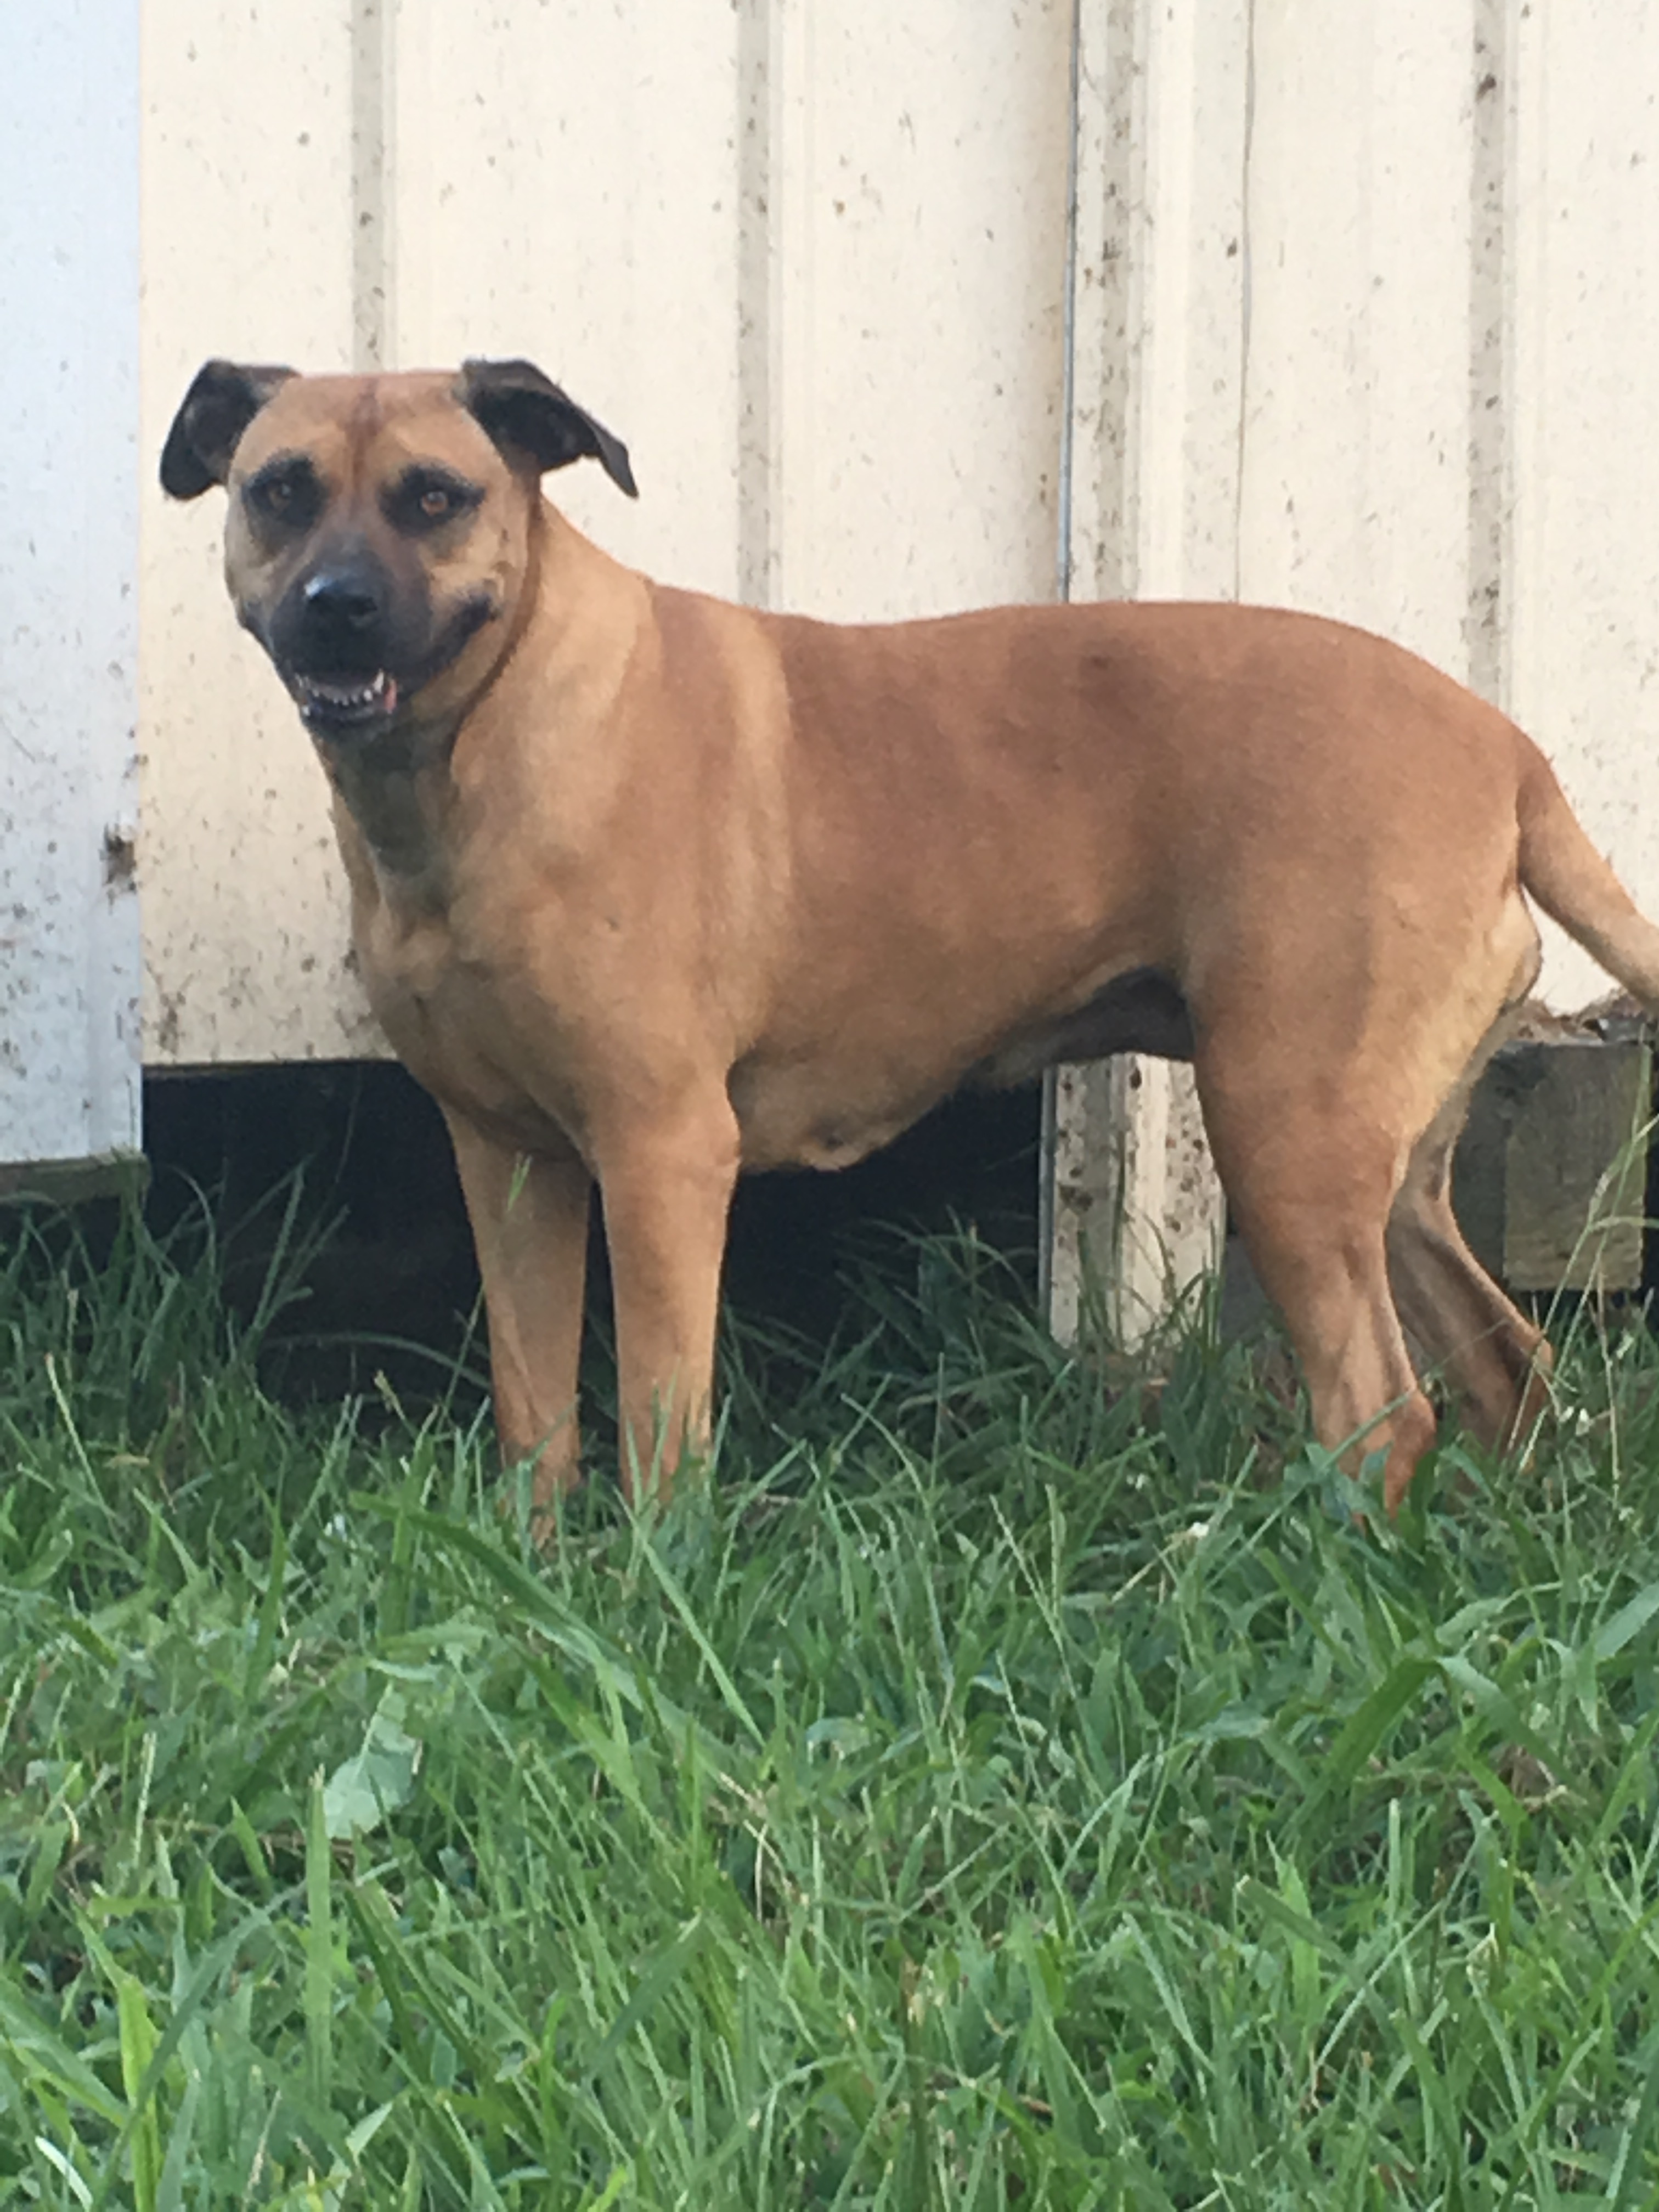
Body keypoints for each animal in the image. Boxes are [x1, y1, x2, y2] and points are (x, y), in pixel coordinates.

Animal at [162, 358, 1659, 1522]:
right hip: (1384, 1175)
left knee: (1383, 1415)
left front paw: (650, 1591)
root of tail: (1507, 748)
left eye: (435, 496)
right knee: (1506, 1367)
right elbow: (539, 1418)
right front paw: (539, 1587)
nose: (337, 606)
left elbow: (658, 1426)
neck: (487, 734)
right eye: (280, 488)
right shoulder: (511, 1161)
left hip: (1285, 1139)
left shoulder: (661, 1158)